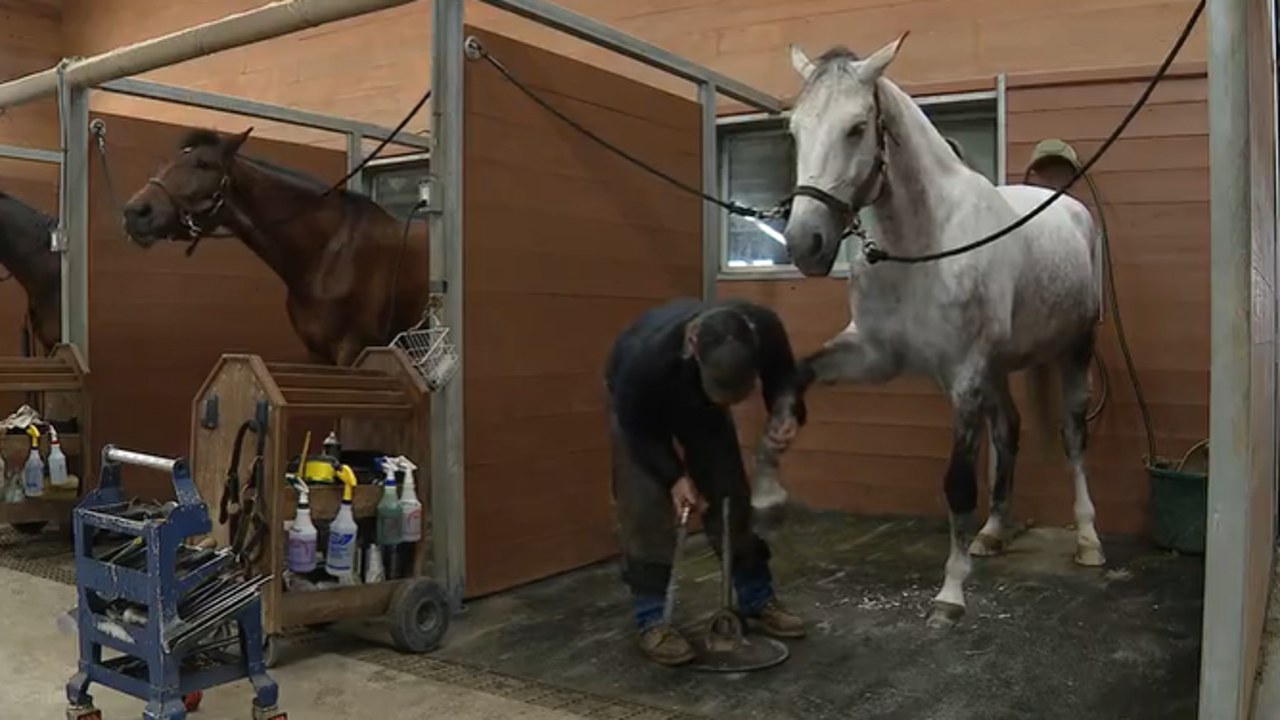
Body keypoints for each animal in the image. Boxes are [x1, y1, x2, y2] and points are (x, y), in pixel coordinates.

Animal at [119, 128, 429, 366]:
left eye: (204, 164)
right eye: (164, 165)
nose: (136, 212)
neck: (328, 254)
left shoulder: (353, 350)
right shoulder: (317, 353)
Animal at [751, 36, 1105, 630]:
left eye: (856, 127)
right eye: (795, 130)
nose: (805, 244)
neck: (923, 246)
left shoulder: (963, 373)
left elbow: (957, 483)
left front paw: (951, 593)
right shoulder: (873, 356)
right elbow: (792, 380)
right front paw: (767, 494)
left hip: (1073, 351)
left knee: (1074, 438)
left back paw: (1087, 539)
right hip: (997, 369)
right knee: (1008, 431)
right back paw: (992, 533)